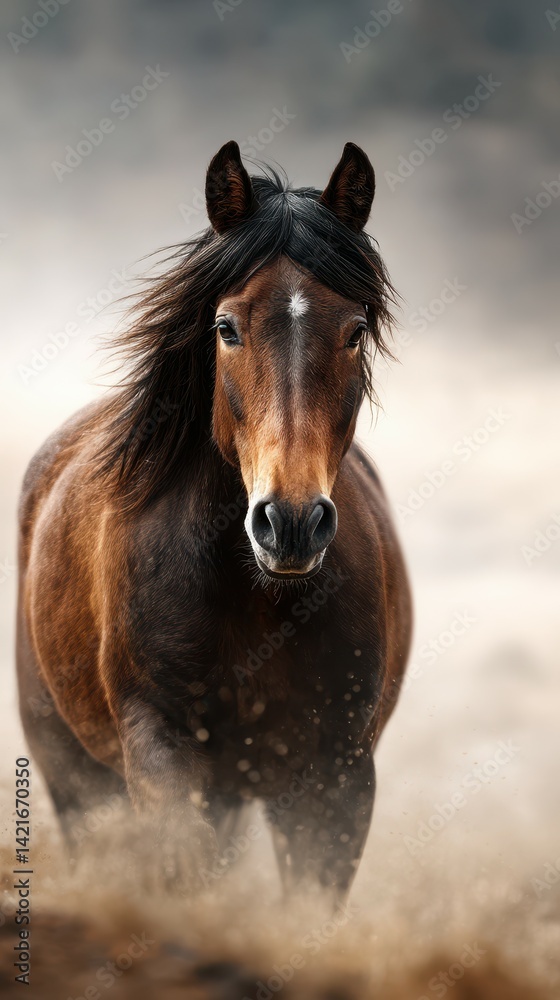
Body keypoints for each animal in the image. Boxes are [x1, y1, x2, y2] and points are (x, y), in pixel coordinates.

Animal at [16, 140, 412, 901]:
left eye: (354, 331)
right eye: (226, 328)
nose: (291, 523)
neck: (254, 598)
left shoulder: (337, 777)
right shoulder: (161, 752)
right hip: (75, 777)